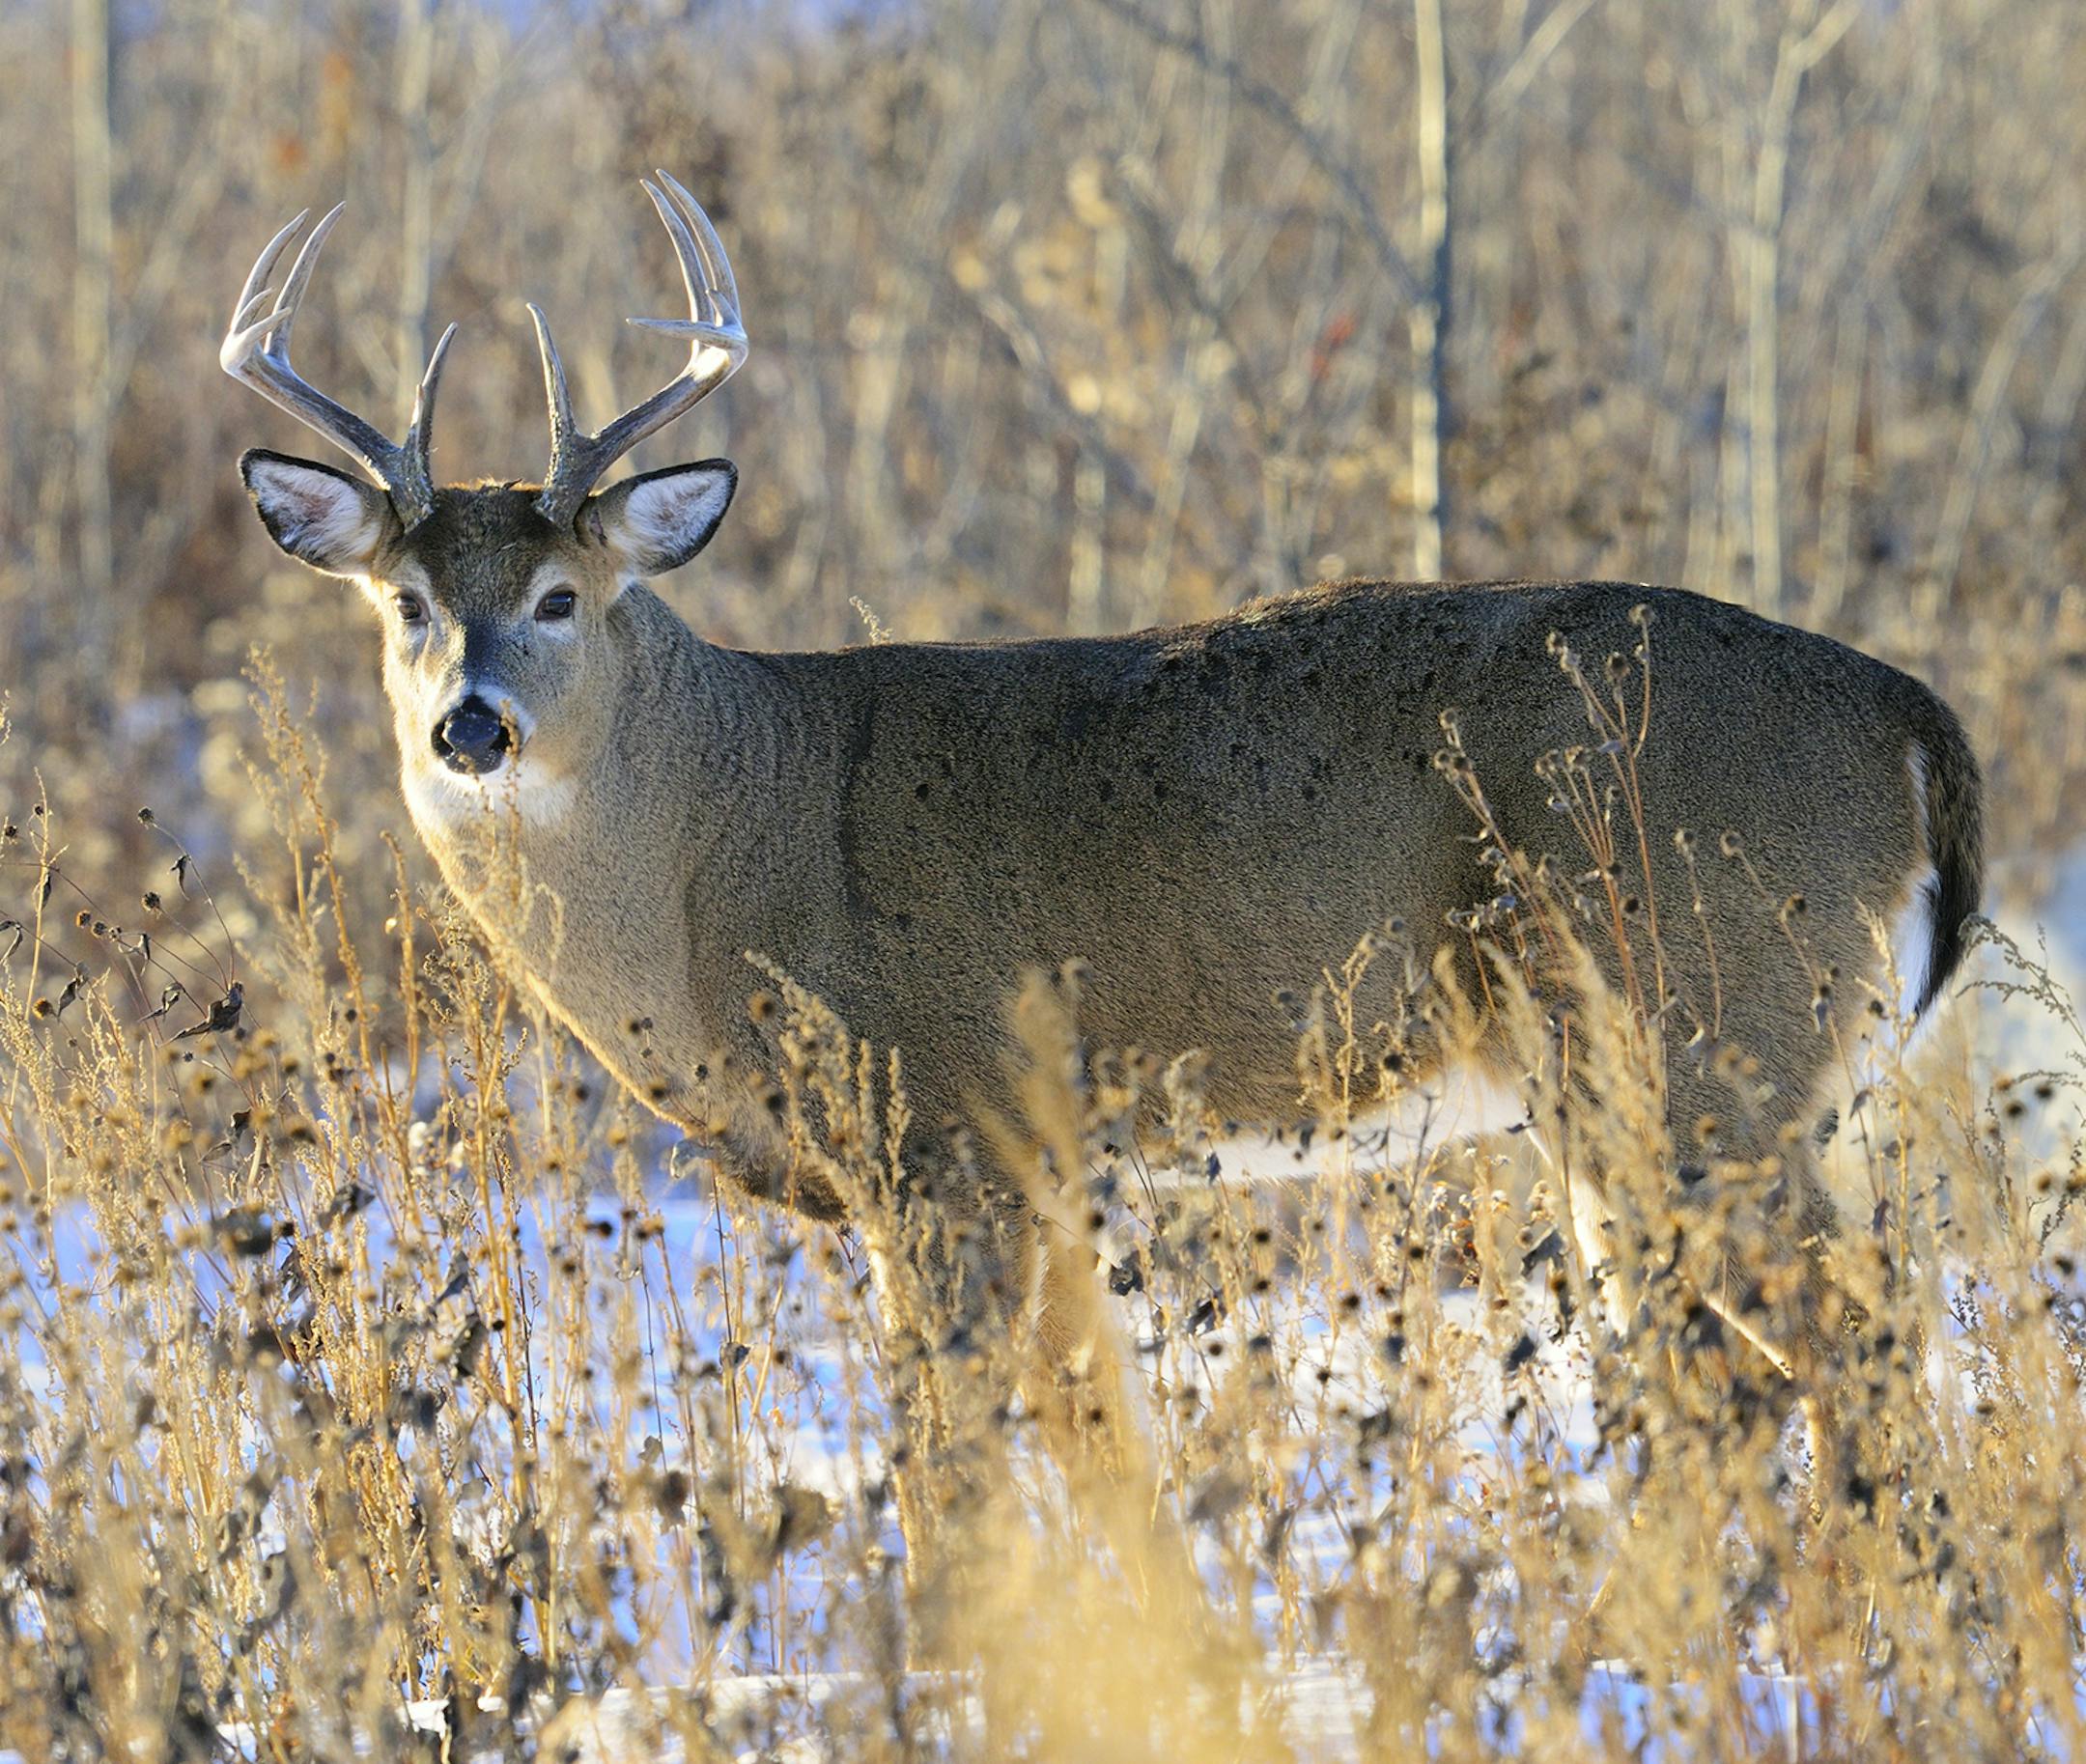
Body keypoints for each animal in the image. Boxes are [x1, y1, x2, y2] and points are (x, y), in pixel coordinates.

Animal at [222, 173, 1982, 1495]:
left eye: (562, 595)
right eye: (404, 600)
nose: (472, 726)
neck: (730, 844)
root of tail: (1913, 722)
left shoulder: (939, 1135)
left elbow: (955, 1480)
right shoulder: (1049, 1168)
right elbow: (1110, 1460)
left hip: (1706, 1042)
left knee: (1848, 1344)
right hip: (1671, 1094)